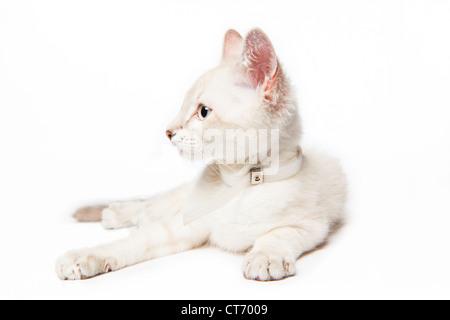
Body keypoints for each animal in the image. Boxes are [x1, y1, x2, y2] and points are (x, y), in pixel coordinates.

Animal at [54, 28, 346, 282]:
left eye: (203, 112)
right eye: (184, 107)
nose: (168, 132)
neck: (242, 181)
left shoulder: (312, 225)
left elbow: (279, 235)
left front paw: (265, 257)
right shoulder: (188, 224)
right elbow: (136, 241)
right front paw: (84, 257)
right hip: (183, 201)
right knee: (158, 203)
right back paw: (122, 213)